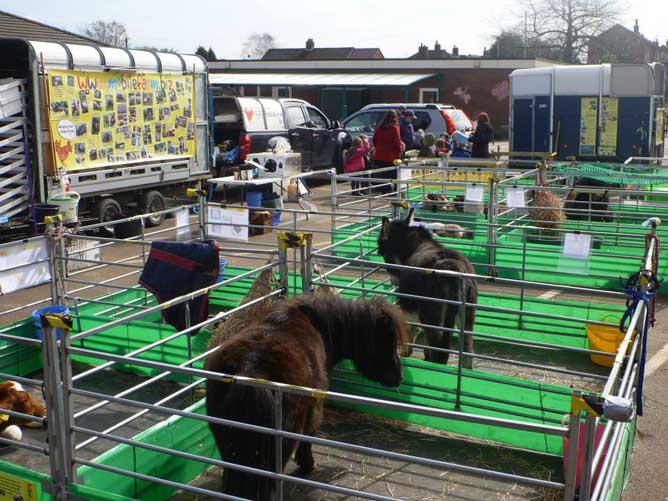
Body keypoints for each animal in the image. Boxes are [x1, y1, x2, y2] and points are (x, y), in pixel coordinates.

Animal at [206, 292, 410, 500]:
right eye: (386, 341)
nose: (398, 377)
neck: (318, 326)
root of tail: (250, 369)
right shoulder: (314, 407)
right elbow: (309, 435)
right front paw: (307, 464)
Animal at [378, 207, 478, 368]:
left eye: (384, 254)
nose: (394, 282)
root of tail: (452, 269)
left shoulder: (409, 306)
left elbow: (410, 330)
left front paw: (406, 353)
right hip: (467, 315)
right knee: (467, 352)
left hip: (431, 316)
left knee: (437, 350)